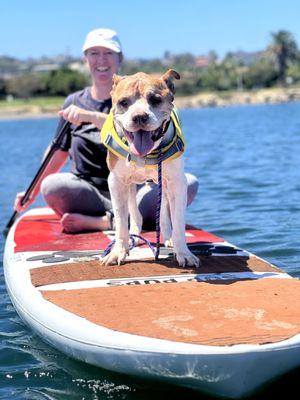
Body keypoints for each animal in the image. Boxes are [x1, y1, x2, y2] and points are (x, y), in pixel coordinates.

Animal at [100, 69, 199, 268]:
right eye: (123, 102)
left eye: (155, 99)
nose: (139, 116)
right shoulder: (116, 181)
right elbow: (120, 221)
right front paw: (118, 252)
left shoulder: (177, 182)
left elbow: (178, 221)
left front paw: (184, 253)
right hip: (130, 184)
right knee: (133, 210)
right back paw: (135, 233)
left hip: (163, 184)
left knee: (163, 213)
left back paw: (167, 236)